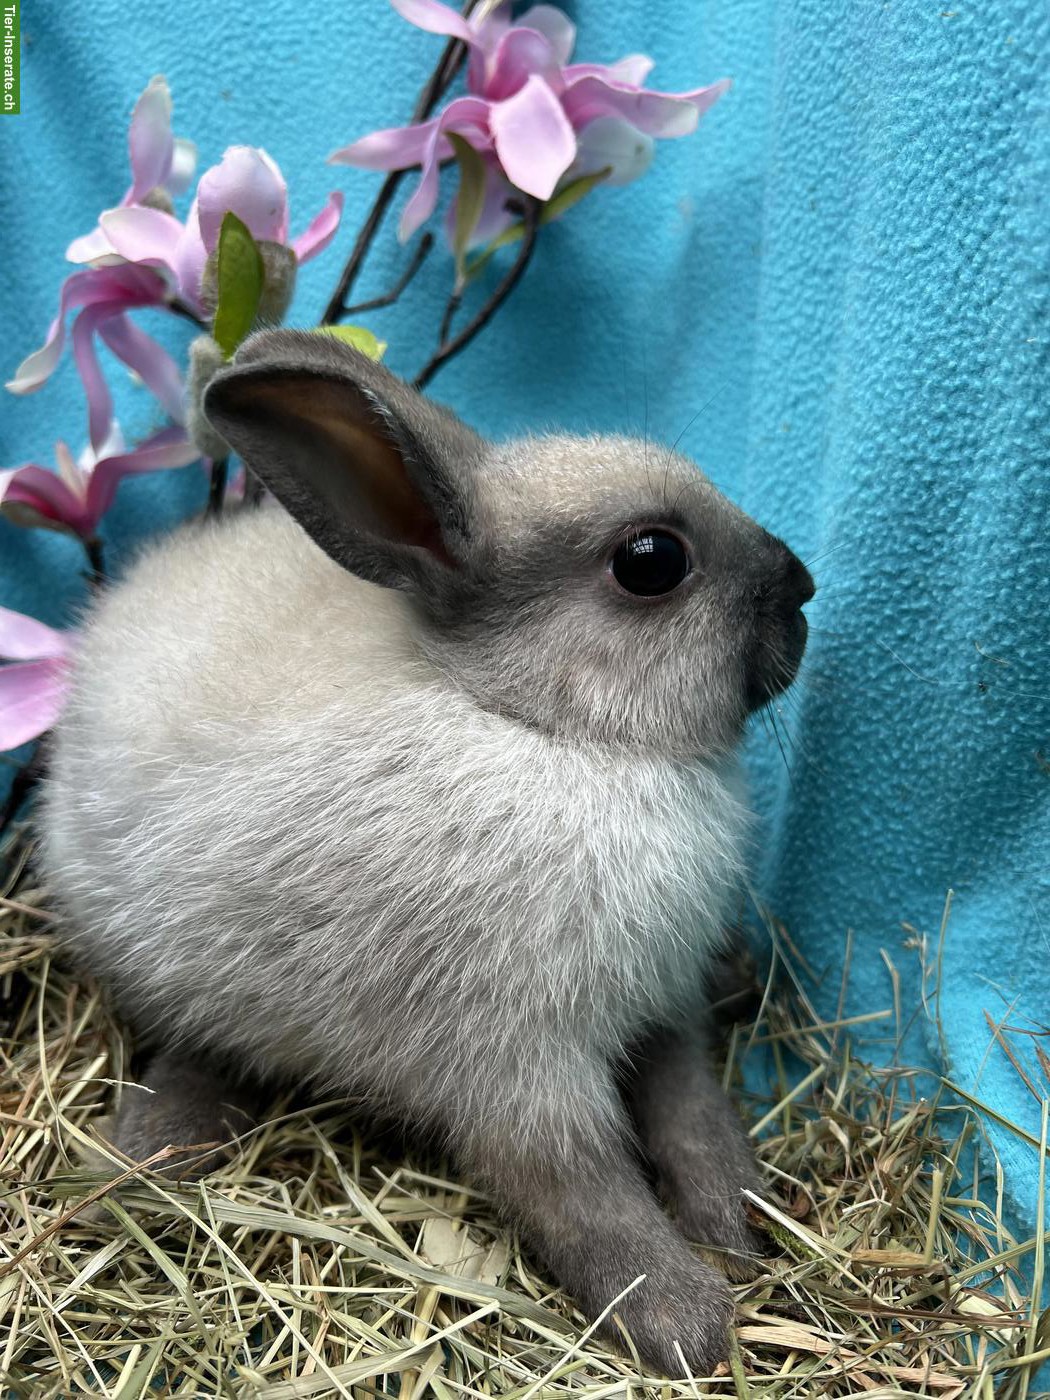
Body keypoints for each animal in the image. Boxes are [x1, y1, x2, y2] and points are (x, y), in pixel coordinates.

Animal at [38, 328, 814, 1378]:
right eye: (651, 560)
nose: (804, 588)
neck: (544, 730)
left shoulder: (662, 1013)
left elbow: (695, 1118)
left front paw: (739, 1223)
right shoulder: (513, 1072)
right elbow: (585, 1193)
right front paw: (682, 1318)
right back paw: (152, 1147)